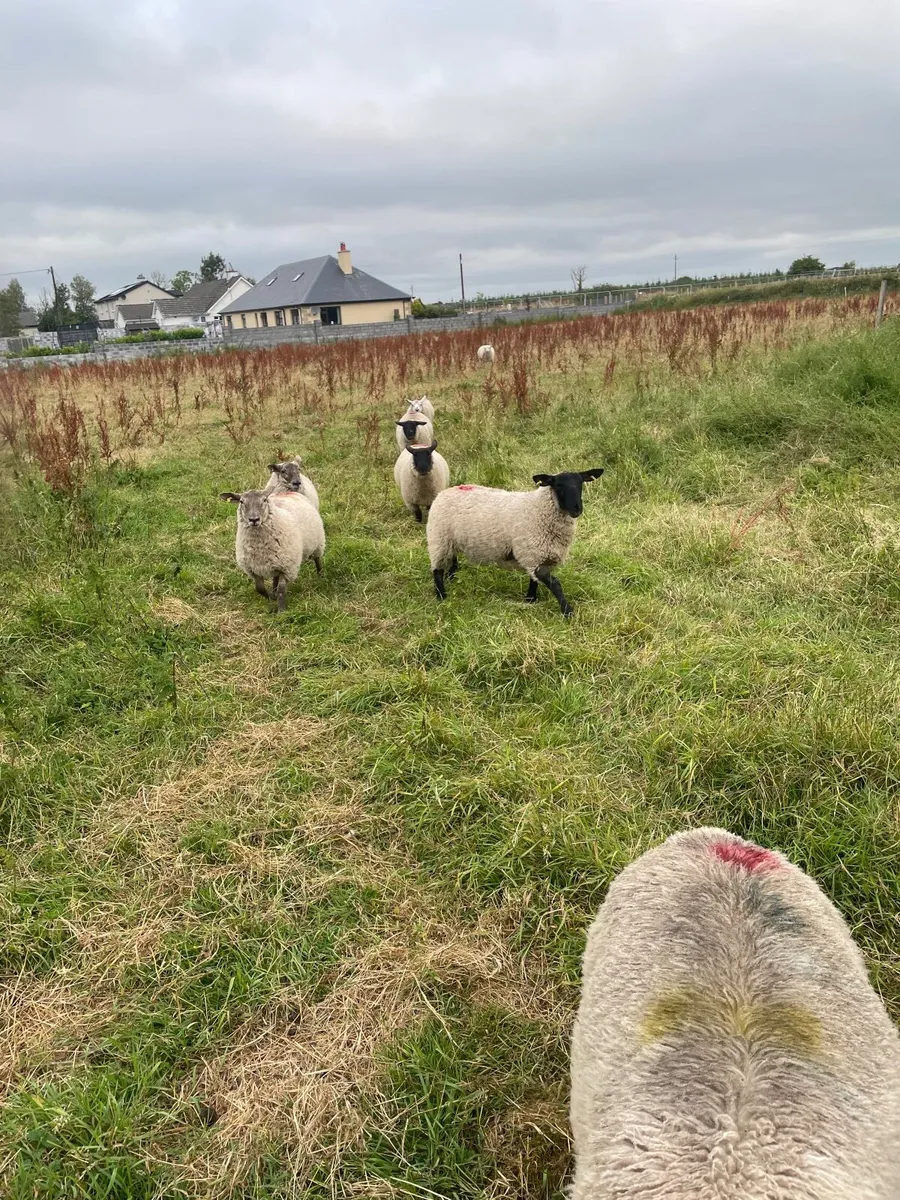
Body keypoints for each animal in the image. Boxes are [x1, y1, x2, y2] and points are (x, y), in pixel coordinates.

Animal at [425, 468, 603, 618]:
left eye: (581, 484)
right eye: (558, 486)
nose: (577, 509)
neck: (539, 508)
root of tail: (445, 491)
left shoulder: (536, 556)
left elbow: (534, 580)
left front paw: (530, 599)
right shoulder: (532, 553)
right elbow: (556, 584)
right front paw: (567, 612)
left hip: (450, 542)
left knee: (452, 561)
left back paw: (451, 579)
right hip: (438, 539)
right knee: (437, 571)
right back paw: (441, 596)